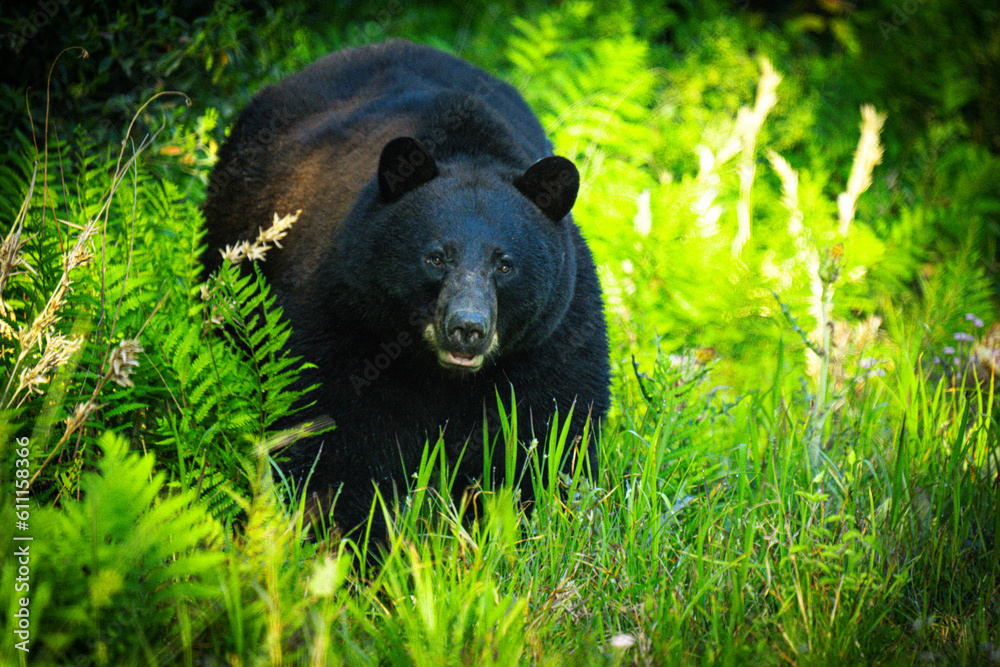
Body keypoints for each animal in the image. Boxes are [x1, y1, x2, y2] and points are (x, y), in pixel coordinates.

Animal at [201, 39, 610, 546]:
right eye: (435, 257)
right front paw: (359, 541)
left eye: (505, 264)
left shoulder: (554, 336)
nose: (467, 329)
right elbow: (336, 438)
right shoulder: (342, 314)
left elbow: (547, 436)